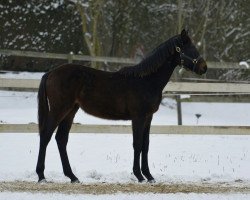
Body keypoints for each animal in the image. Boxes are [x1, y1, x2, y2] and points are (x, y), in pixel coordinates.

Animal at [35, 28, 207, 184]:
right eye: (189, 49)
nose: (204, 67)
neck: (146, 81)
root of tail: (50, 73)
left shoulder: (148, 117)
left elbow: (145, 145)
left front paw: (149, 176)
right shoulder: (138, 117)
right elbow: (137, 144)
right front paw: (139, 176)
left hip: (70, 111)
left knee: (61, 139)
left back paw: (72, 177)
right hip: (59, 110)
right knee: (46, 135)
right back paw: (41, 176)